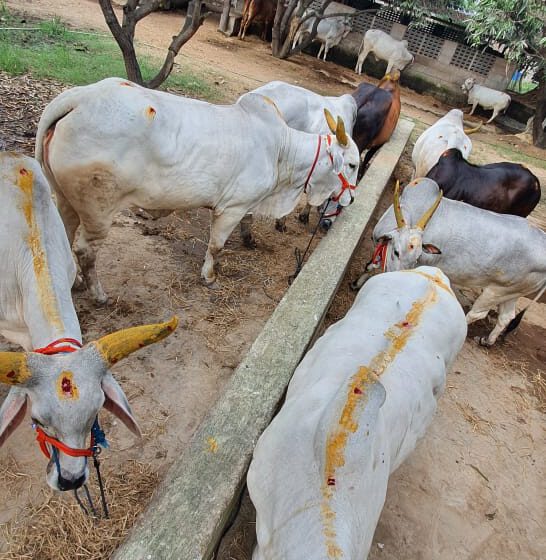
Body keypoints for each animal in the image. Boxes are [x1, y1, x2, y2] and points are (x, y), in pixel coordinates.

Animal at [35, 77, 356, 302]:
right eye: (352, 164)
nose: (351, 198)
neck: (281, 150)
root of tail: (80, 97)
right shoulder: (232, 208)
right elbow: (216, 246)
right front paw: (210, 276)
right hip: (98, 209)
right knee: (85, 250)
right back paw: (98, 294)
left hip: (65, 198)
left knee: (64, 235)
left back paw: (74, 282)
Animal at [352, 179, 544, 346]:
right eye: (396, 252)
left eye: (416, 258)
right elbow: (371, 264)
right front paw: (356, 283)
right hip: (511, 292)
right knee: (506, 317)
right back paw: (487, 341)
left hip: (495, 291)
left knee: (476, 314)